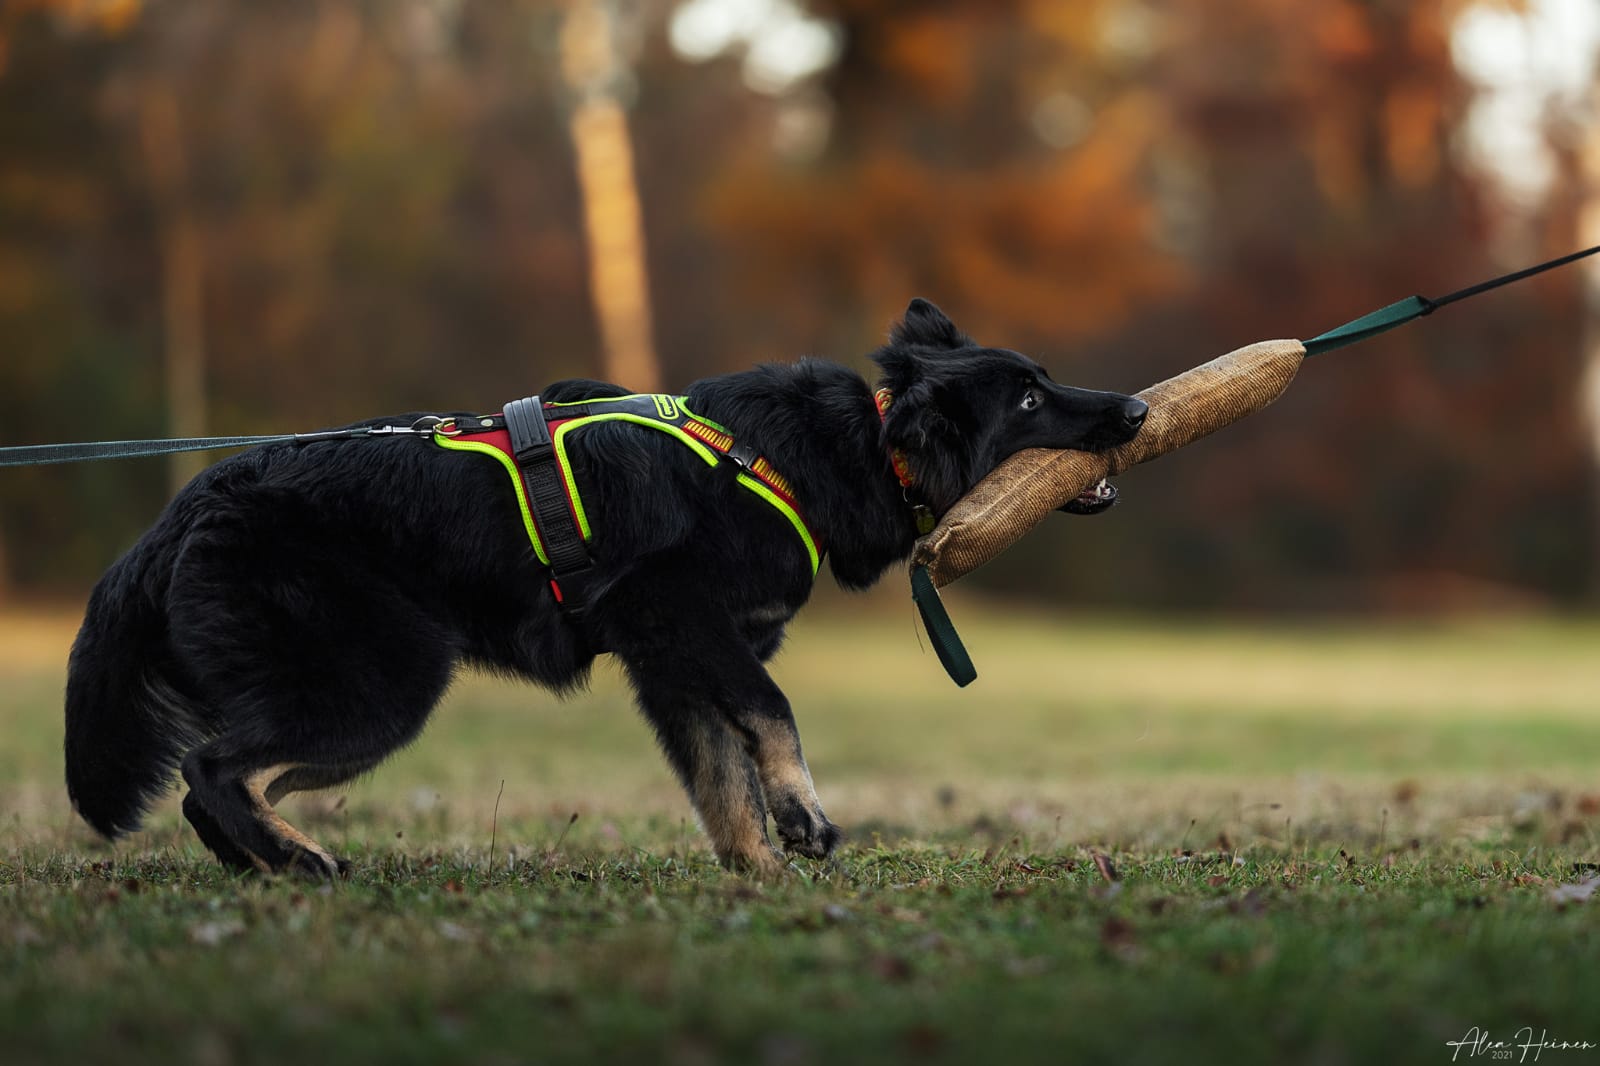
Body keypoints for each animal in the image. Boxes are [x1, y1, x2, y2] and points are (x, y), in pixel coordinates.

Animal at [62, 299, 1145, 870]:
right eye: (1029, 399)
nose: (1137, 410)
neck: (840, 450)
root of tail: (176, 517)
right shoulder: (671, 615)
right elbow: (771, 713)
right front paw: (802, 815)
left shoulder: (672, 664)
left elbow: (722, 781)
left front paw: (759, 877)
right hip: (386, 680)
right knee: (212, 769)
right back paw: (297, 860)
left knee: (219, 782)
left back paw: (270, 863)